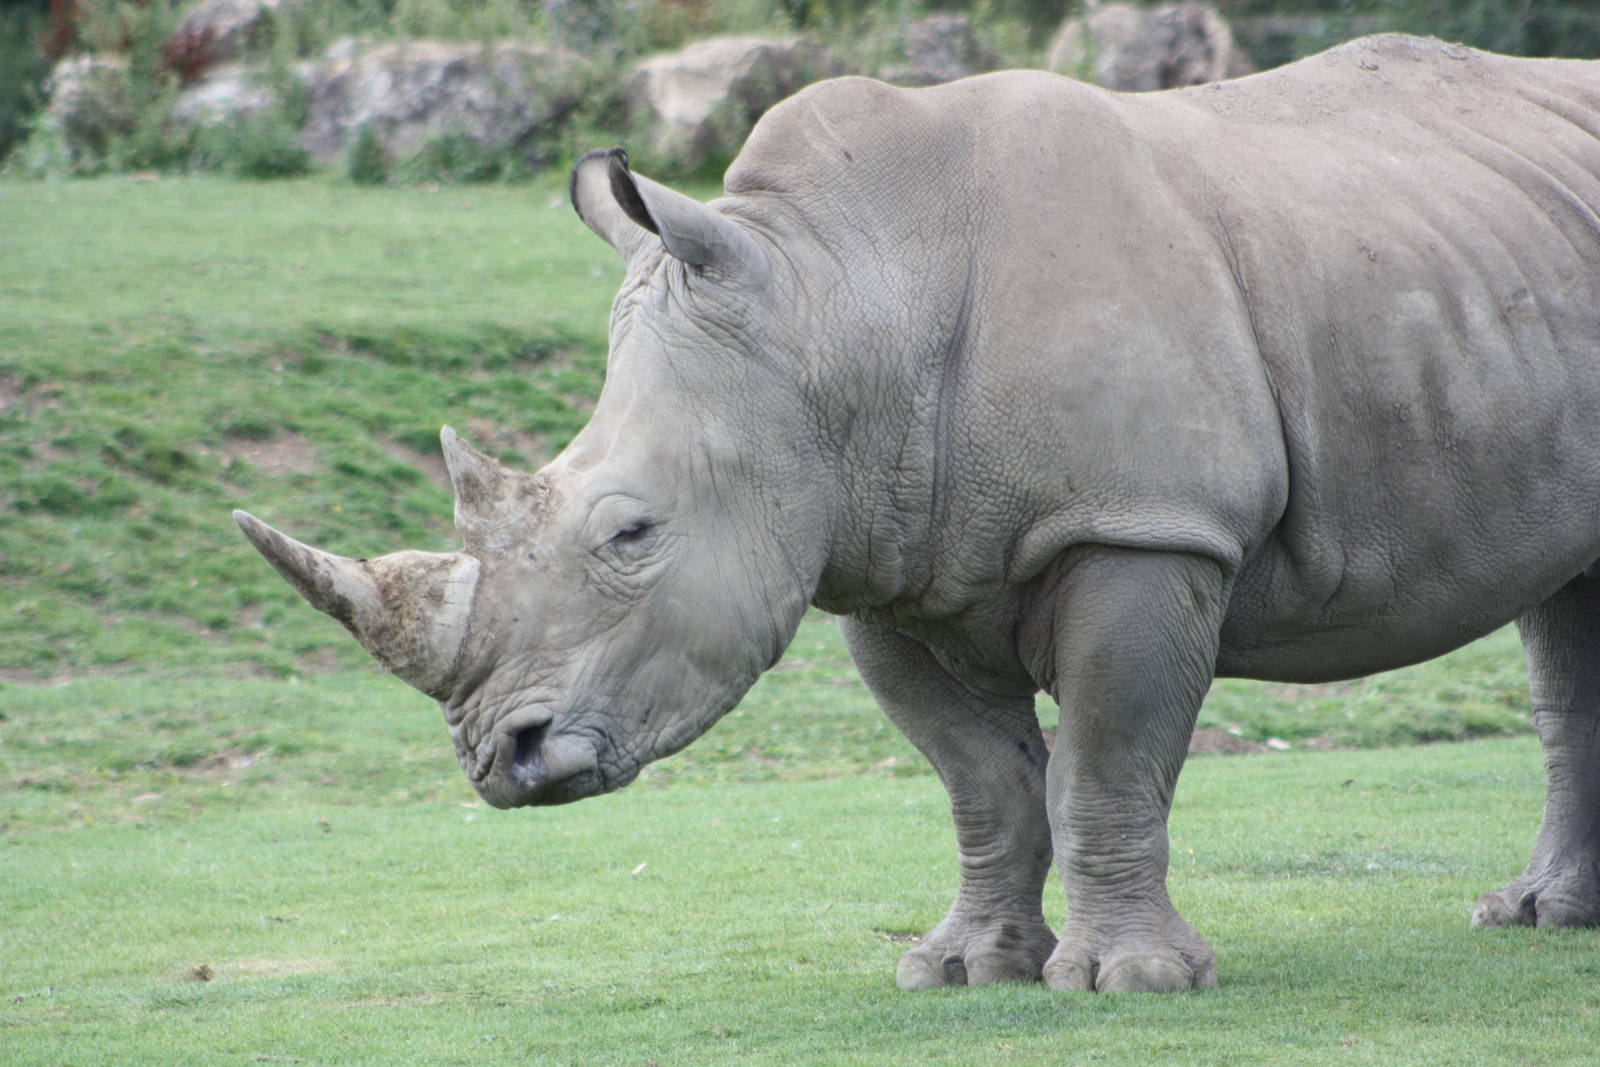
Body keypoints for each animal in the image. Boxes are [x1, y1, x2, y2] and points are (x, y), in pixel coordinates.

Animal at [235, 34, 1600, 992]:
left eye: (631, 533)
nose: (498, 761)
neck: (836, 303)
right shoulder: (884, 557)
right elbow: (980, 780)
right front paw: (962, 968)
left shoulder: (1140, 521)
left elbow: (1107, 756)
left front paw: (1130, 979)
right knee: (1567, 606)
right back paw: (1536, 918)